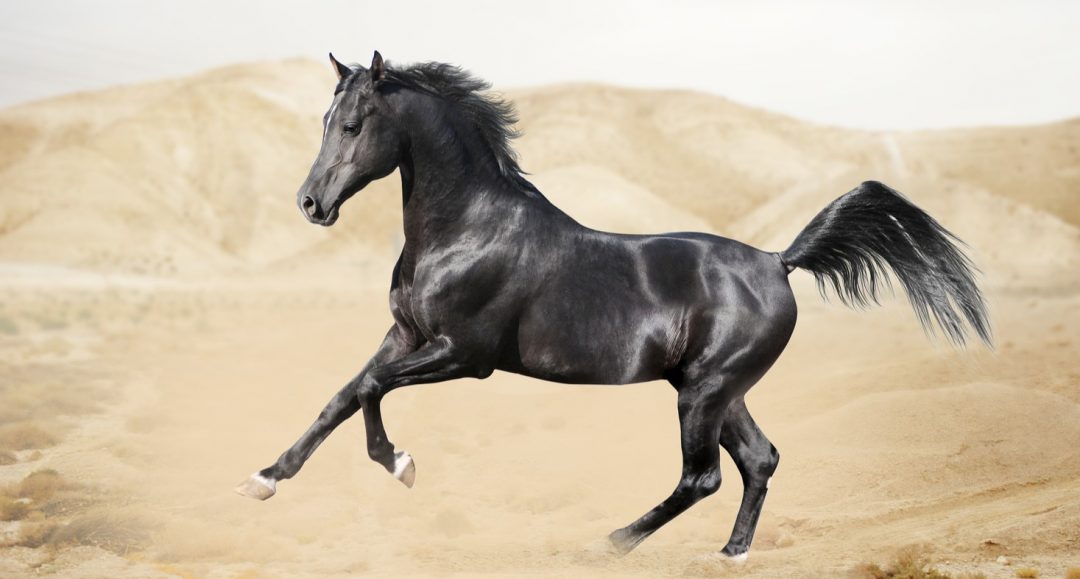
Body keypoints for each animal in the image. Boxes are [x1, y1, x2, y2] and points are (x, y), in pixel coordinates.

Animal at [235, 51, 991, 561]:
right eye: (326, 119)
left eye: (355, 124)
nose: (311, 203)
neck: (466, 229)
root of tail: (779, 261)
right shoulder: (403, 335)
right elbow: (342, 394)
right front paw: (265, 478)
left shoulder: (463, 354)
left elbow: (369, 390)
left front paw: (400, 464)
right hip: (719, 389)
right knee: (761, 459)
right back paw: (731, 553)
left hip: (703, 392)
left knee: (703, 475)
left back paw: (607, 543)